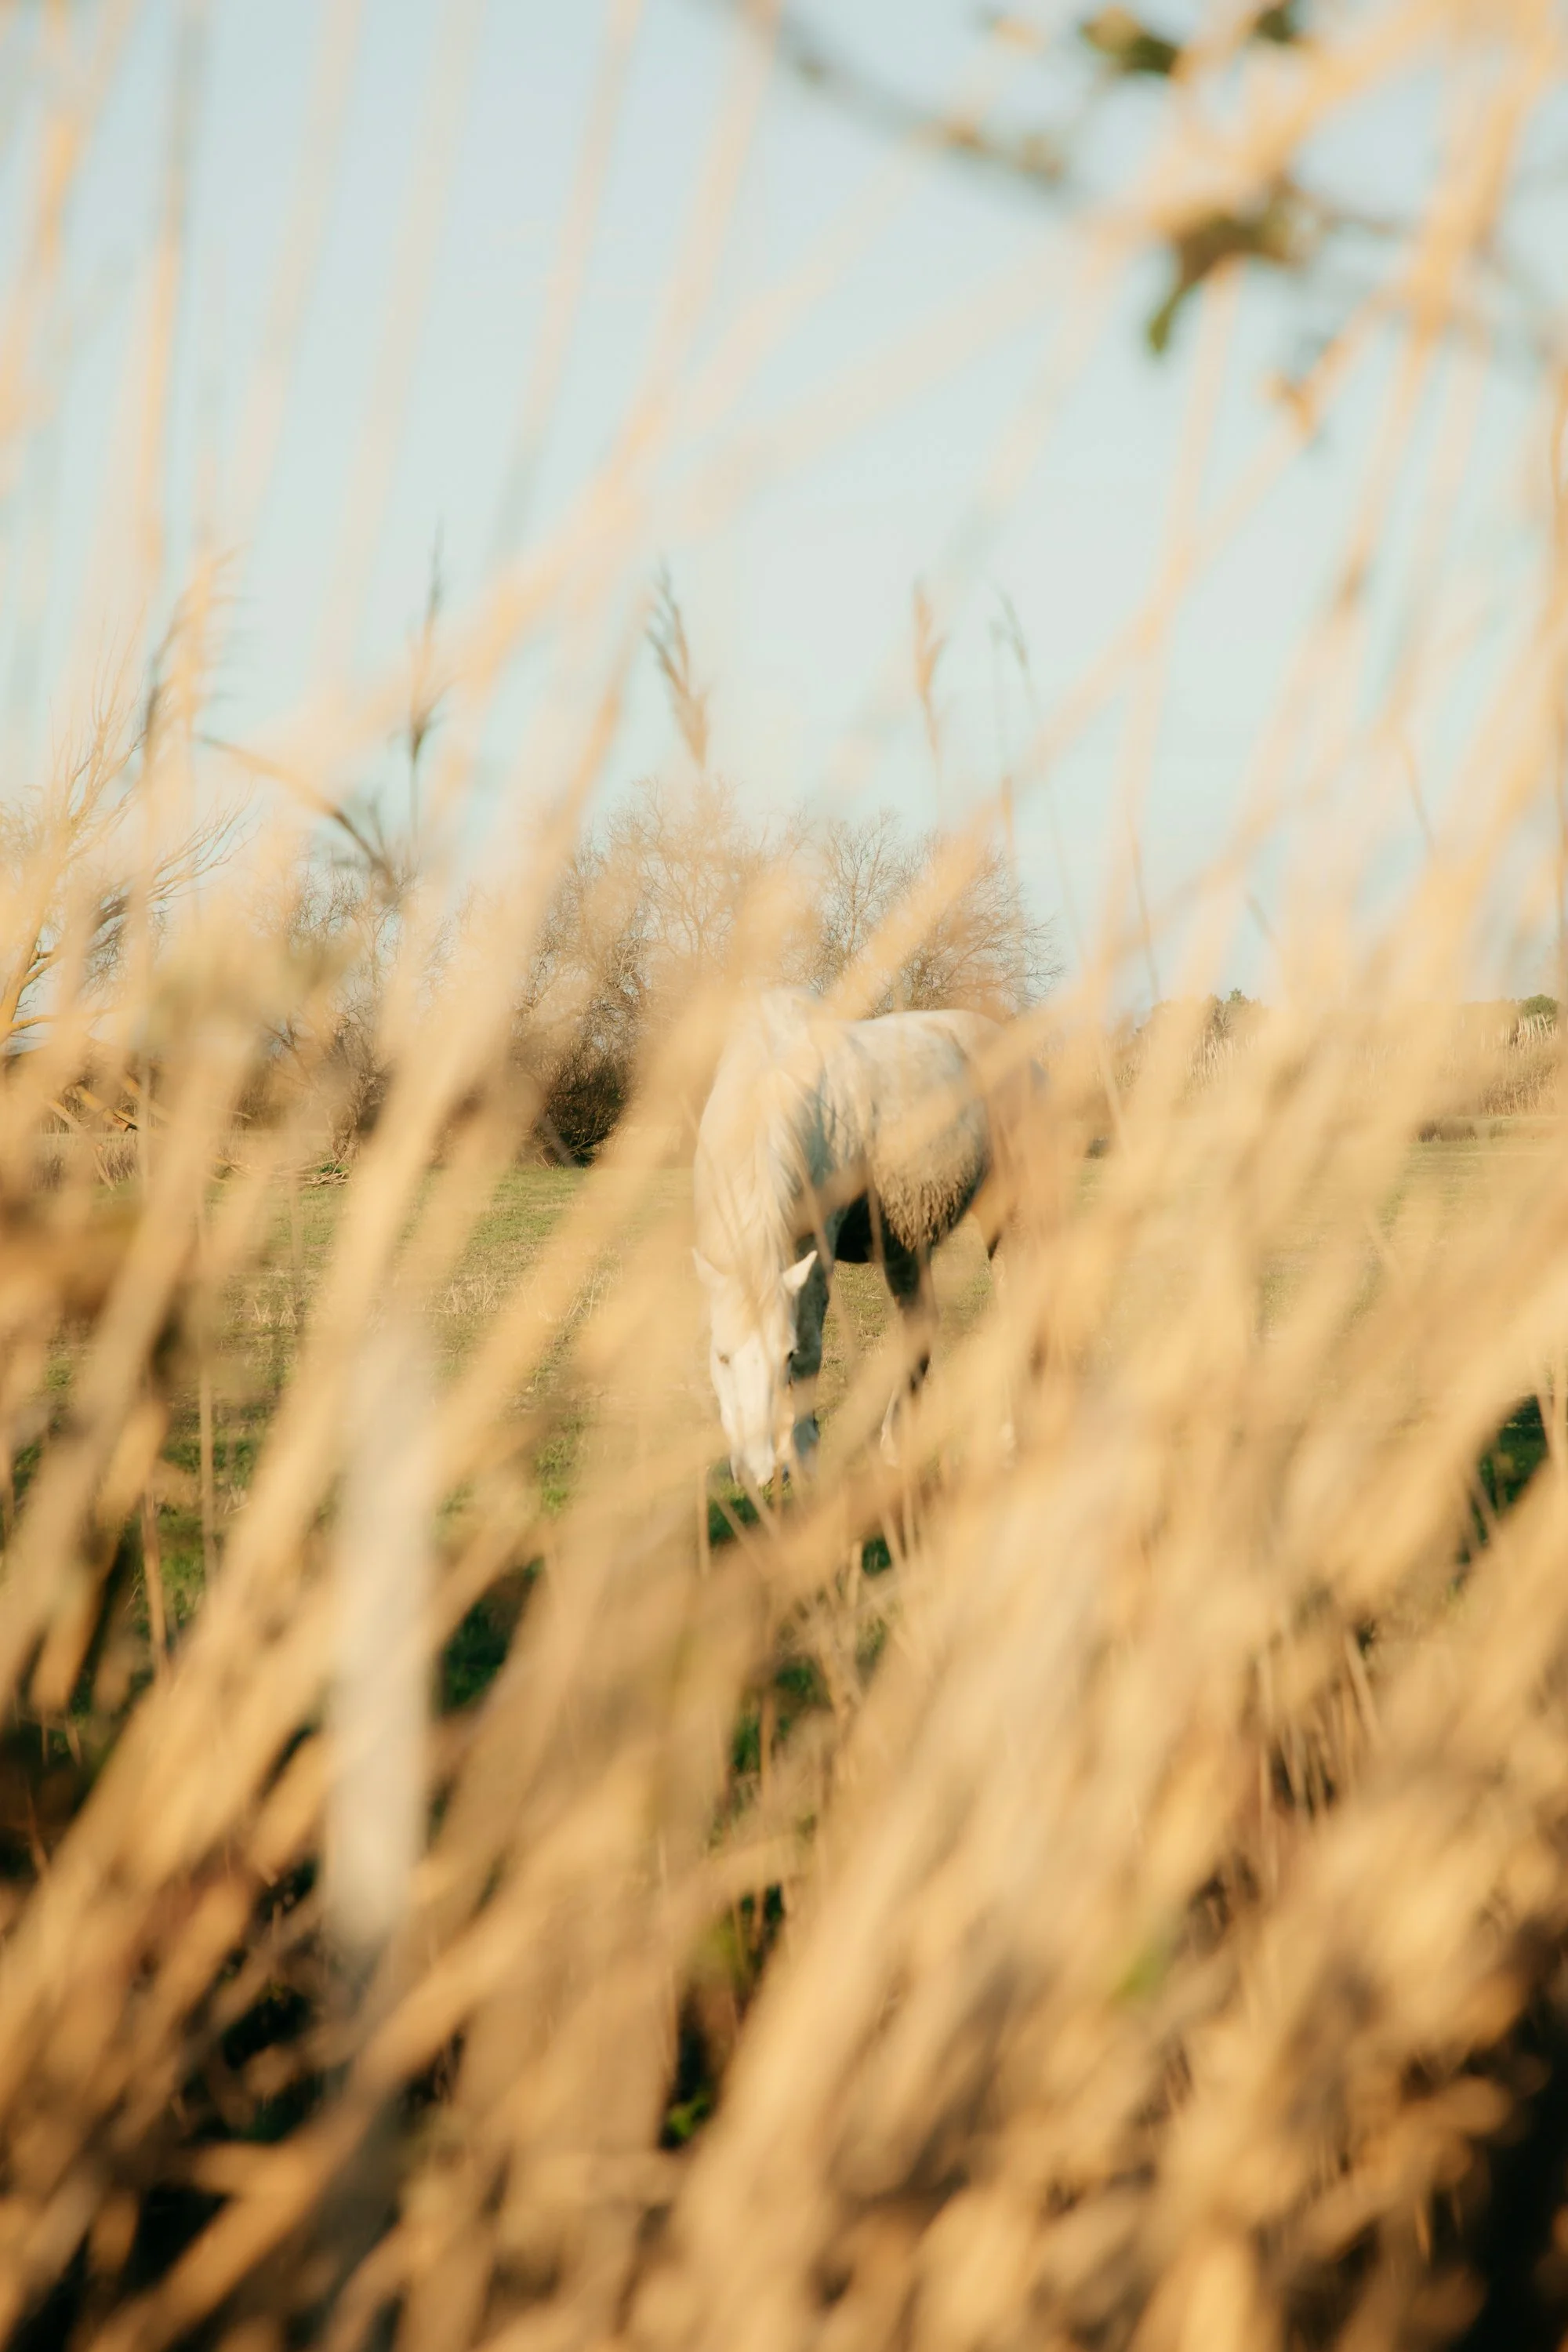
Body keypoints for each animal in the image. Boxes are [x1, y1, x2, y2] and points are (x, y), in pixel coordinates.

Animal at [692, 989, 1027, 1489]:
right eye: (722, 1357)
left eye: (785, 1355)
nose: (758, 1474)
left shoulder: (816, 1247)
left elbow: (812, 1347)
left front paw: (804, 1453)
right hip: (906, 1244)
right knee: (920, 1324)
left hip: (1006, 1212)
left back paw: (1007, 1438)